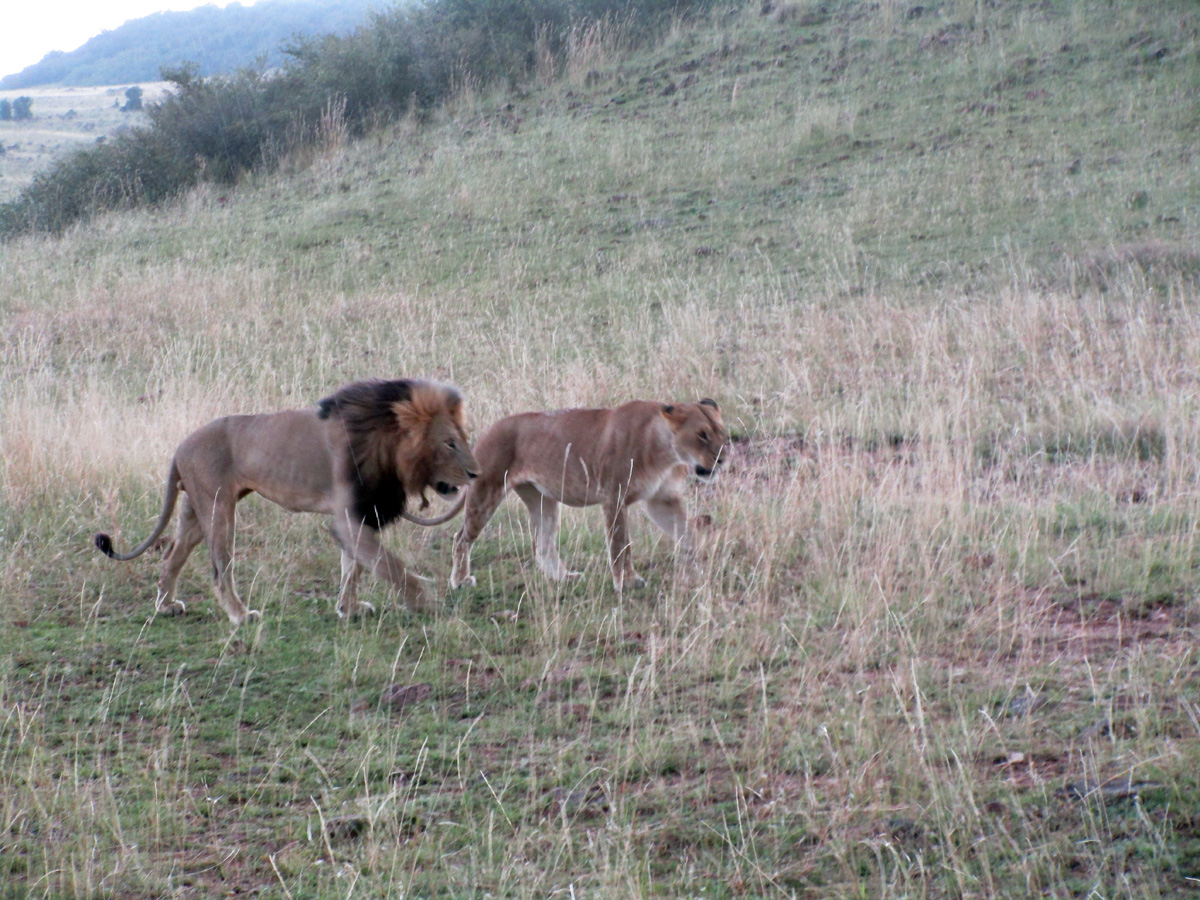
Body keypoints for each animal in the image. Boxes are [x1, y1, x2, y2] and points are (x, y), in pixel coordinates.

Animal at [95, 379, 478, 624]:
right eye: (449, 443)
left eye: (462, 438)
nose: (476, 473)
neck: (385, 441)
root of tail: (179, 448)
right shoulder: (347, 516)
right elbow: (387, 564)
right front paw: (423, 600)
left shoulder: (361, 513)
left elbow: (353, 566)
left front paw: (349, 609)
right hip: (219, 509)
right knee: (219, 569)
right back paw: (240, 616)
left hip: (194, 510)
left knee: (171, 557)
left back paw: (166, 605)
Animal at [450, 398, 728, 592]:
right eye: (702, 434)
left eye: (722, 433)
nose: (722, 459)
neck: (666, 454)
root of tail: (488, 430)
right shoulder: (614, 496)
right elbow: (620, 543)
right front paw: (627, 582)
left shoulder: (662, 499)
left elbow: (688, 533)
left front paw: (699, 568)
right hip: (487, 490)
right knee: (461, 538)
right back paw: (460, 581)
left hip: (542, 500)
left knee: (543, 545)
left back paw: (564, 577)